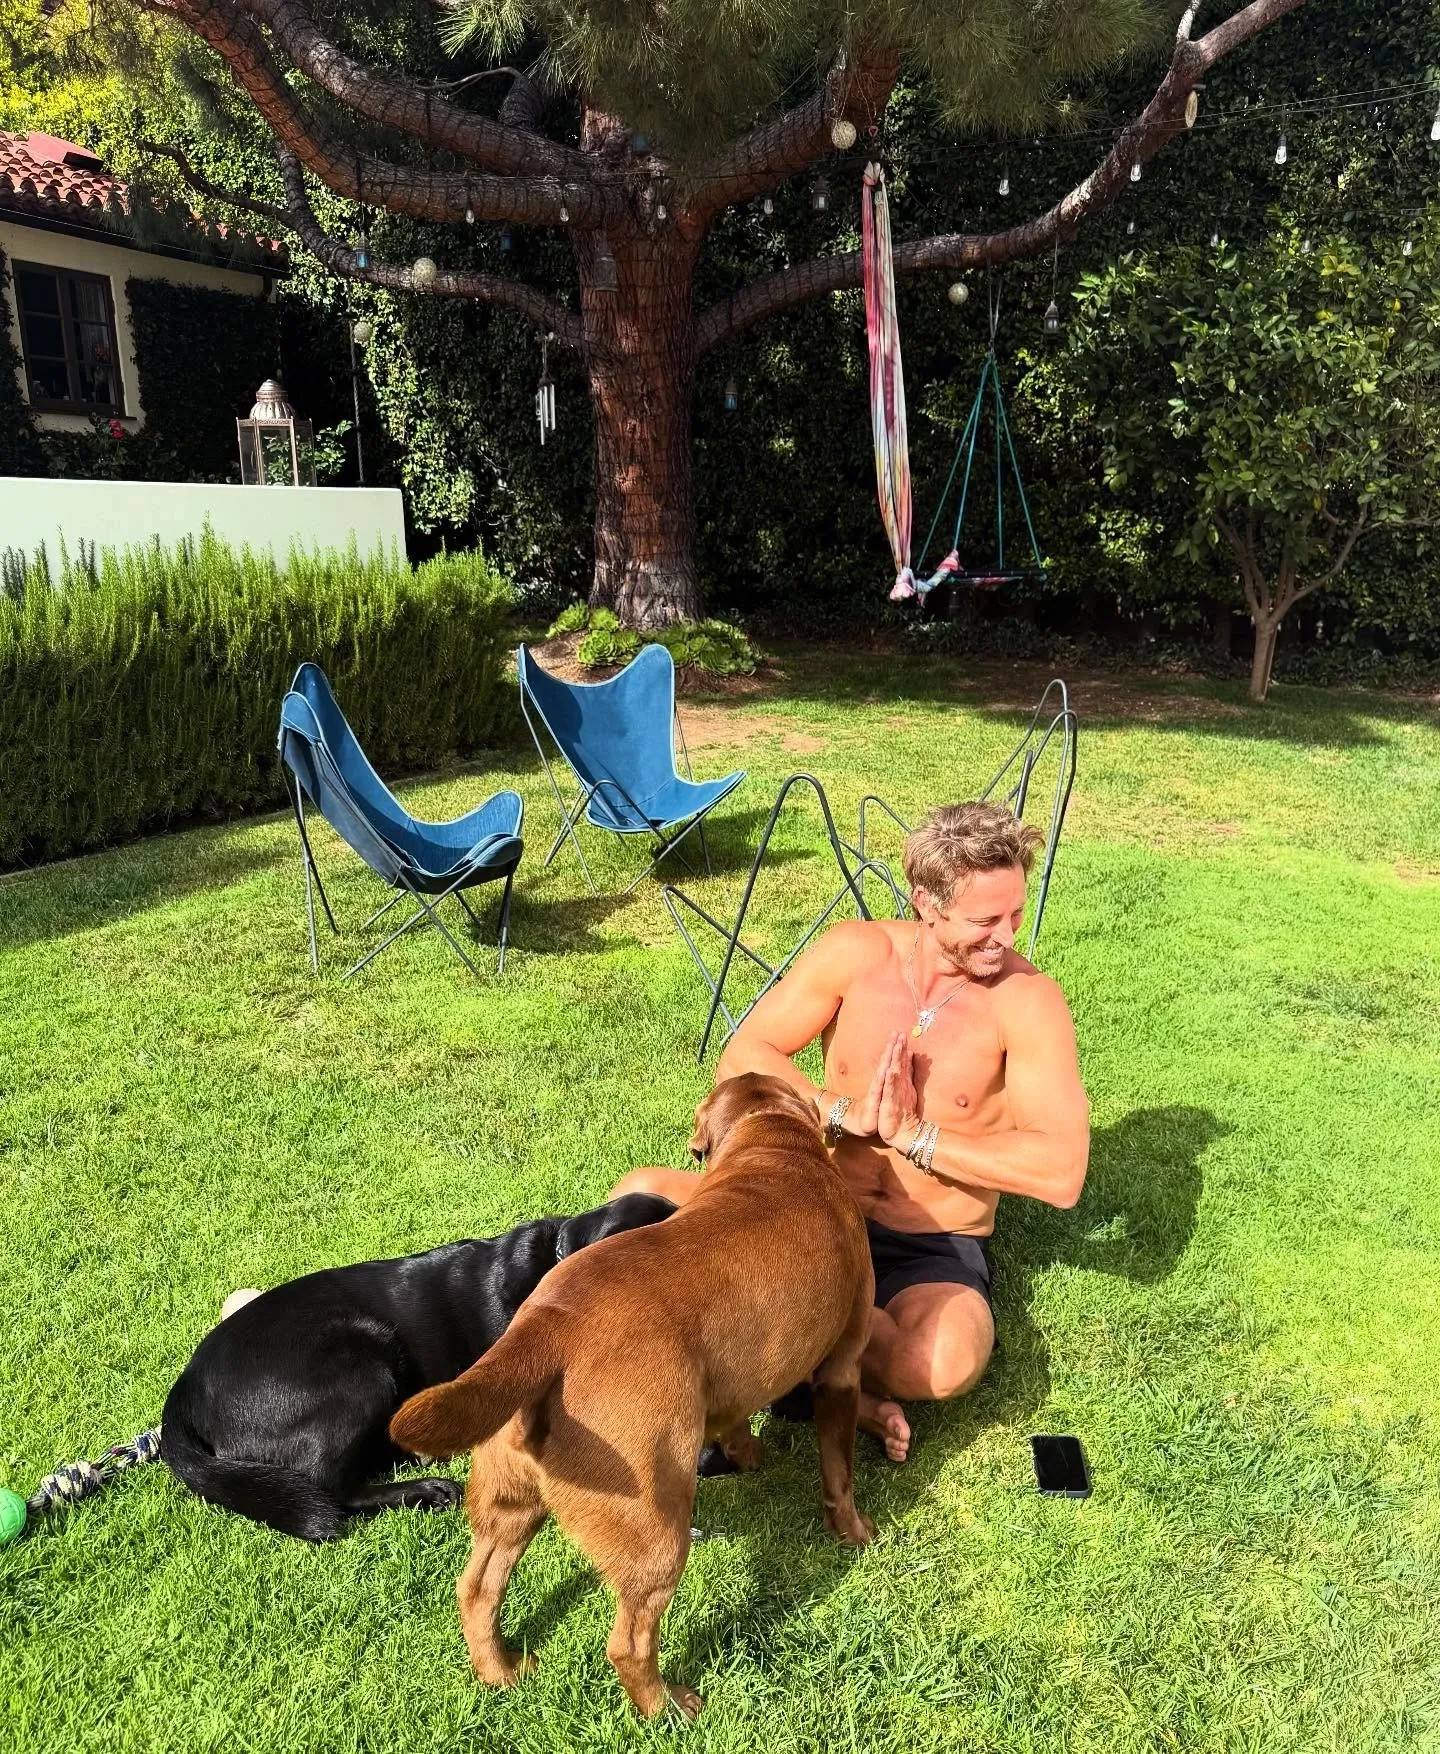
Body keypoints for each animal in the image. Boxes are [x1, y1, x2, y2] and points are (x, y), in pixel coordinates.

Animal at [390, 1072, 875, 1719]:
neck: (771, 1143)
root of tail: (548, 1328)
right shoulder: (843, 1368)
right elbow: (839, 1473)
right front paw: (855, 1532)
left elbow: (736, 1420)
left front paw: (747, 1453)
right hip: (655, 1531)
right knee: (629, 1642)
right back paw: (667, 1708)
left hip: (508, 1503)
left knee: (477, 1589)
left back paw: (500, 1671)